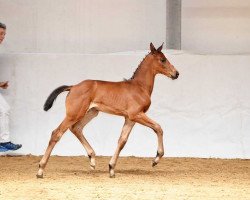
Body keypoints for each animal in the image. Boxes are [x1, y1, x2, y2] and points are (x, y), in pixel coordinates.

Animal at [36, 43, 178, 177]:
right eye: (163, 59)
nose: (176, 73)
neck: (139, 87)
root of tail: (73, 87)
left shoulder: (130, 118)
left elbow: (122, 140)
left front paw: (111, 168)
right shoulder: (136, 114)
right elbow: (158, 127)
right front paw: (156, 159)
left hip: (92, 112)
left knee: (76, 128)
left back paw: (92, 159)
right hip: (74, 114)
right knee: (56, 133)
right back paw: (40, 170)